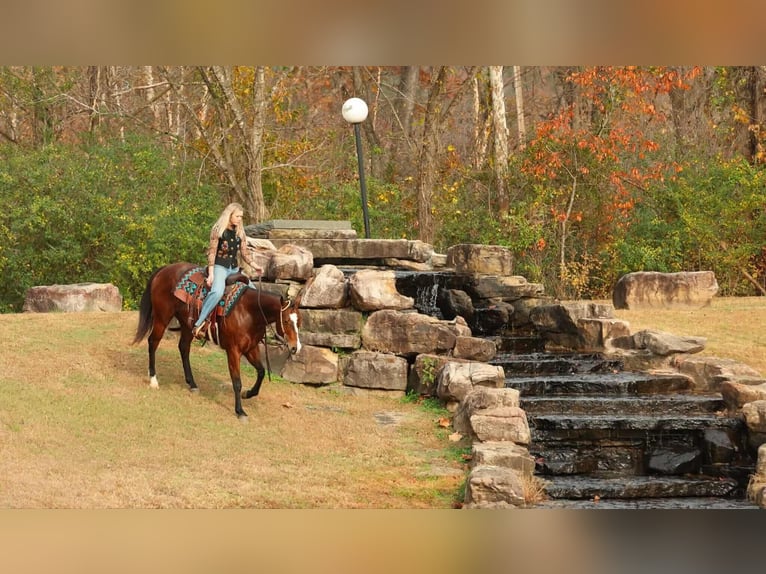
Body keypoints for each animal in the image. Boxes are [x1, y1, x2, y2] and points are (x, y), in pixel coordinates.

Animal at [132, 262, 302, 420]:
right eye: (286, 321)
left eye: (299, 321)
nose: (296, 348)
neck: (249, 312)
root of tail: (165, 269)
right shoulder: (233, 351)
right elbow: (237, 381)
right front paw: (240, 411)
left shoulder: (250, 348)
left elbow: (261, 372)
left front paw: (248, 394)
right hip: (162, 318)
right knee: (153, 342)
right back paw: (154, 380)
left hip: (187, 324)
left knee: (183, 347)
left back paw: (192, 383)